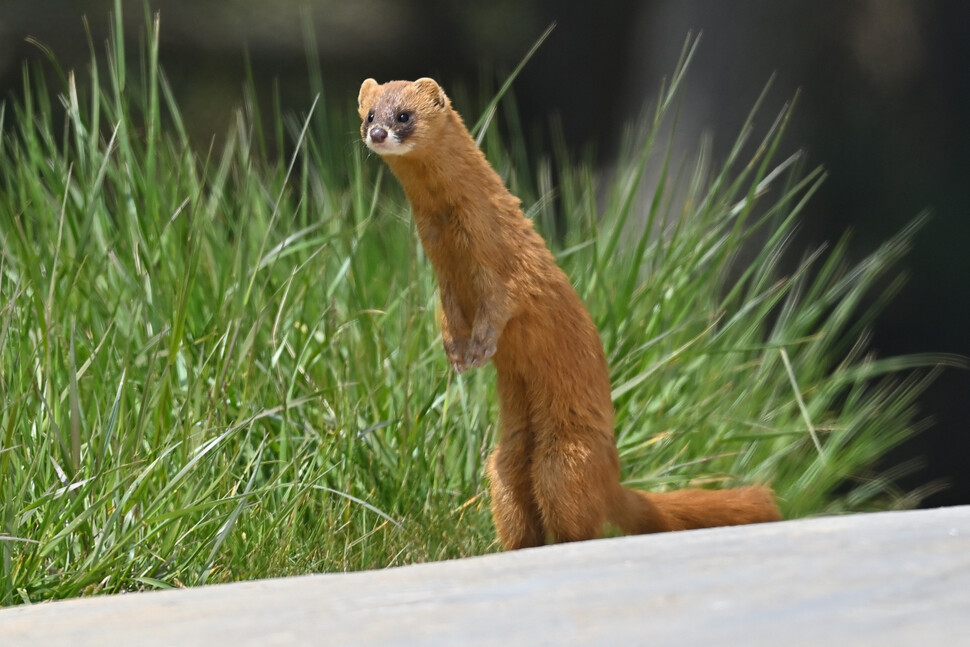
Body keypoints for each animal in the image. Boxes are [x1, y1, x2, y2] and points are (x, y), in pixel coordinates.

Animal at [356, 78, 780, 548]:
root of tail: (612, 480)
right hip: (506, 460)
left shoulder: (509, 274)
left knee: (575, 512)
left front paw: (480, 348)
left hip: (565, 457)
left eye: (404, 115)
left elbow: (500, 309)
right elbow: (447, 317)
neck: (452, 240)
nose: (377, 133)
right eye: (370, 114)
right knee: (515, 499)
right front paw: (455, 353)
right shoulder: (445, 282)